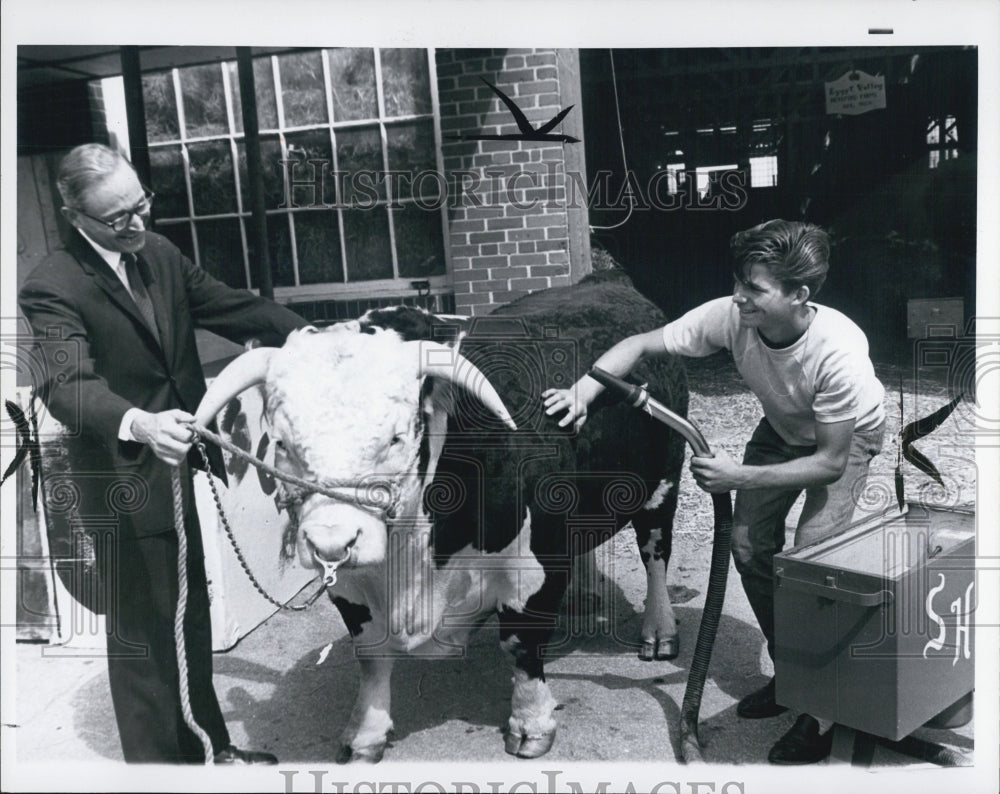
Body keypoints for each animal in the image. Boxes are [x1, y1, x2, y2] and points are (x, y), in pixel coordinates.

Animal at [193, 272, 688, 760]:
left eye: (396, 437)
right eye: (282, 443)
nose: (332, 543)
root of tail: (603, 278)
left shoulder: (533, 562)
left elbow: (522, 643)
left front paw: (531, 725)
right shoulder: (350, 587)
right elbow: (370, 655)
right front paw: (366, 732)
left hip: (664, 483)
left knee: (655, 554)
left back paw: (659, 630)